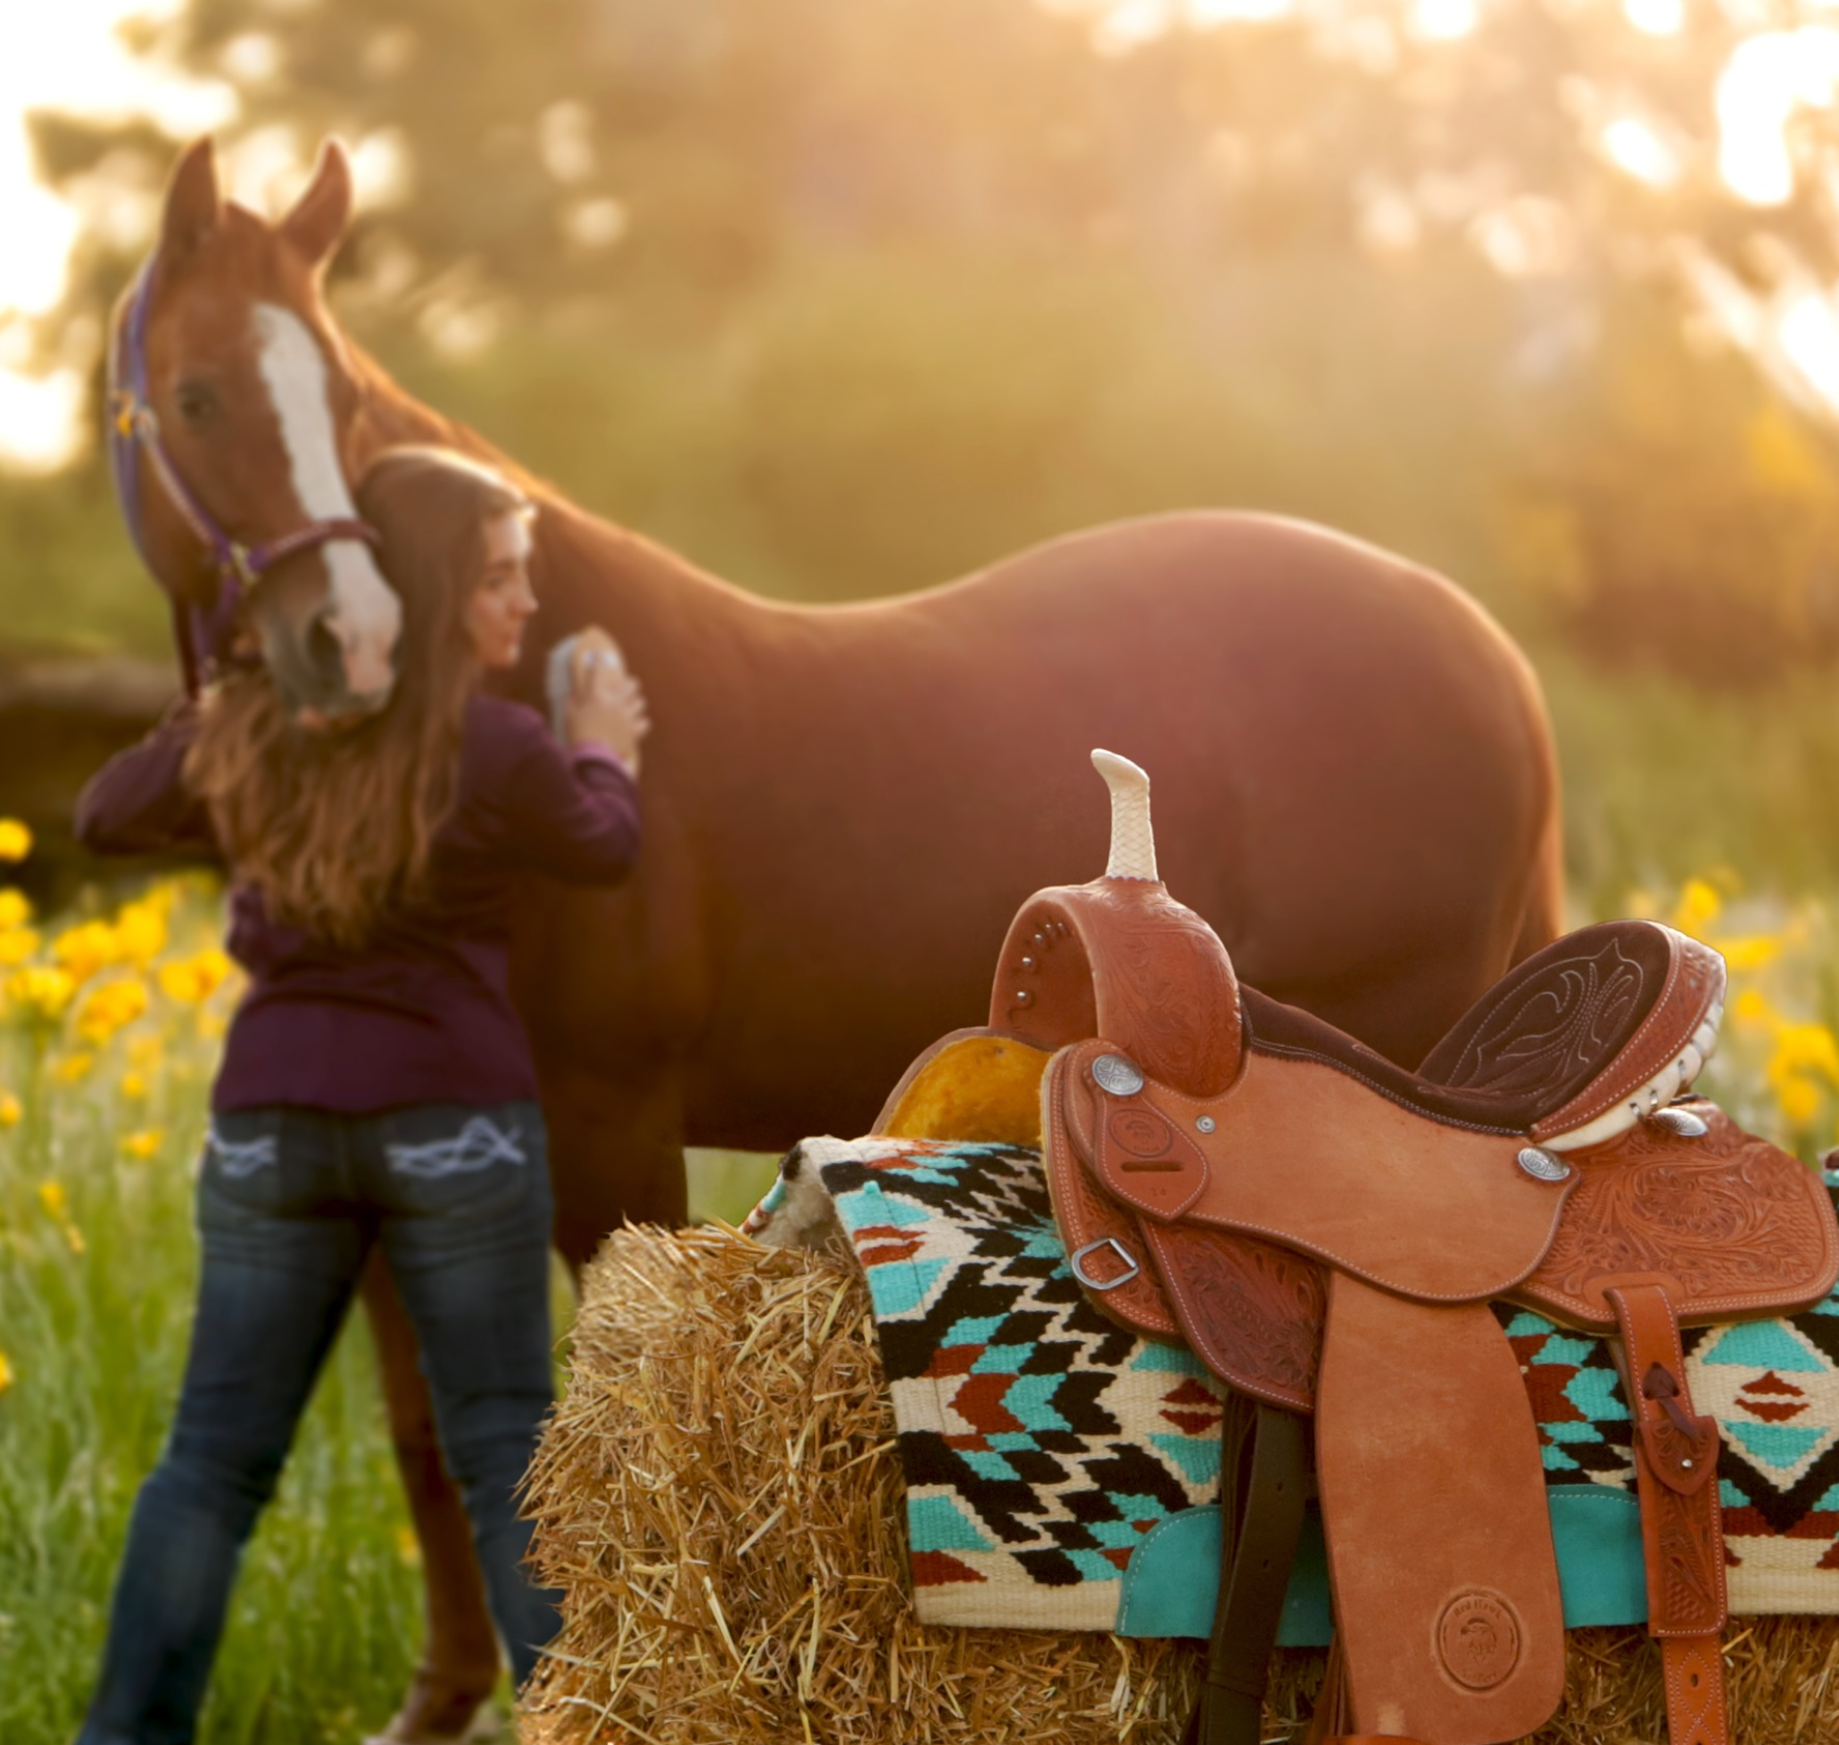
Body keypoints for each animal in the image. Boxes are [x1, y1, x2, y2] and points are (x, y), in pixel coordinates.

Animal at [106, 134, 1564, 1739]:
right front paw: (441, 1702)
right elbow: (426, 1432)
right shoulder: (394, 1168)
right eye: (199, 394)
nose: (348, 643)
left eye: (341, 402)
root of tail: (1486, 653)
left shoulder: (604, 1125)